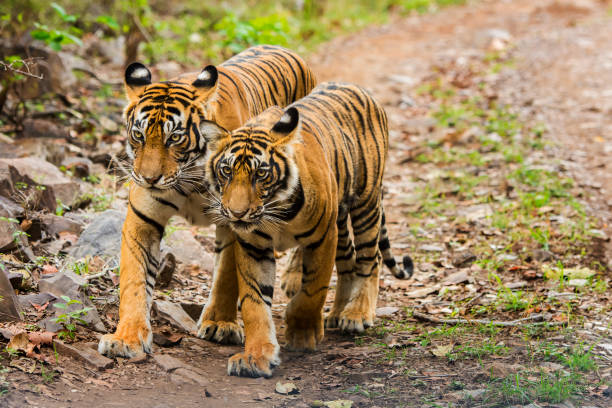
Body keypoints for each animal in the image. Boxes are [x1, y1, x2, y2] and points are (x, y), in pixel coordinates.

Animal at [98, 43, 318, 356]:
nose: (148, 178)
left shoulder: (235, 220)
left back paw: (294, 277)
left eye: (174, 138)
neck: (187, 179)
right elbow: (134, 280)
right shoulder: (144, 219)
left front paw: (220, 324)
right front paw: (126, 337)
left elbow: (226, 275)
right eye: (138, 135)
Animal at [203, 81, 414, 378]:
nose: (236, 213)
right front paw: (256, 357)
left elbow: (313, 290)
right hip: (342, 218)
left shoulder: (323, 236)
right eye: (226, 172)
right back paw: (337, 314)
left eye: (261, 174)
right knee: (348, 260)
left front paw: (302, 334)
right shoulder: (253, 245)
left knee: (370, 258)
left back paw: (356, 314)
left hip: (367, 202)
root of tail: (356, 86)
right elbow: (255, 303)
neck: (275, 210)